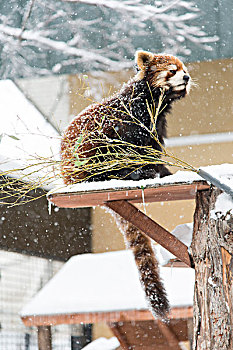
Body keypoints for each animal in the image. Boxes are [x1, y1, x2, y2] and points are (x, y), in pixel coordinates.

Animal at [60, 50, 191, 320]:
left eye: (184, 69)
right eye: (172, 71)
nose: (187, 77)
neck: (152, 101)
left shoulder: (155, 126)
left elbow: (154, 151)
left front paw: (166, 173)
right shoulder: (131, 123)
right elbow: (135, 149)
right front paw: (147, 172)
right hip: (91, 152)